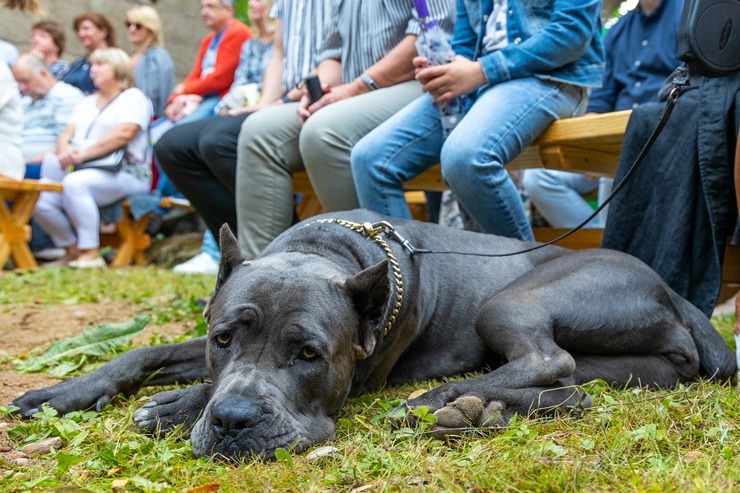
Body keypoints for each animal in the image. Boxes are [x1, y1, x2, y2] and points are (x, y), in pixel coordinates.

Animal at [11, 210, 736, 458]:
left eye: (310, 354)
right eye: (222, 339)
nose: (235, 422)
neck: (324, 250)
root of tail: (671, 288)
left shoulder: (361, 370)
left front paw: (172, 407)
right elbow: (149, 346)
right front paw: (66, 392)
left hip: (514, 297)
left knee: (545, 356)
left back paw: (437, 402)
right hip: (627, 365)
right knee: (572, 384)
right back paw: (479, 408)